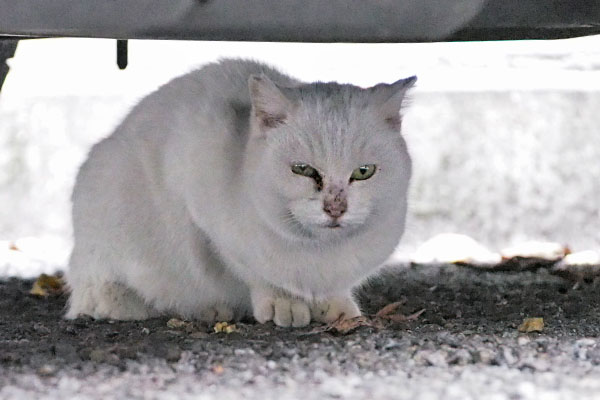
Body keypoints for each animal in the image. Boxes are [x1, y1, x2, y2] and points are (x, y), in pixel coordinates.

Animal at [64, 59, 412, 328]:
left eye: (364, 172)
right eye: (302, 169)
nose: (336, 207)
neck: (319, 252)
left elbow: (335, 290)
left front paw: (336, 306)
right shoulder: (202, 211)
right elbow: (252, 273)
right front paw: (283, 303)